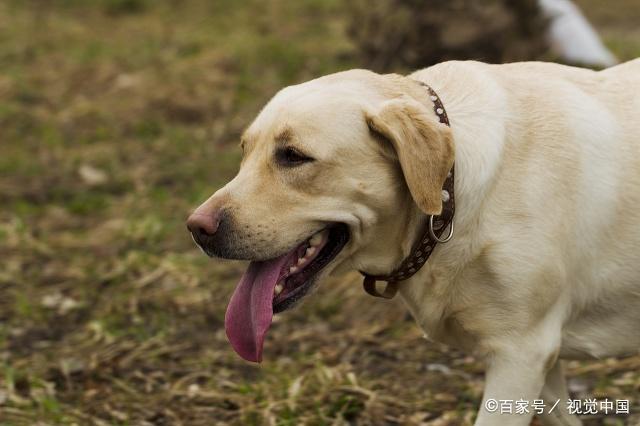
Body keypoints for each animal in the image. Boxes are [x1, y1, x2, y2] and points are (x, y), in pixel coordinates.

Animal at [186, 60, 640, 426]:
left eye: (293, 156)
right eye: (244, 152)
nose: (196, 228)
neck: (450, 189)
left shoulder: (521, 352)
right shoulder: (537, 358)